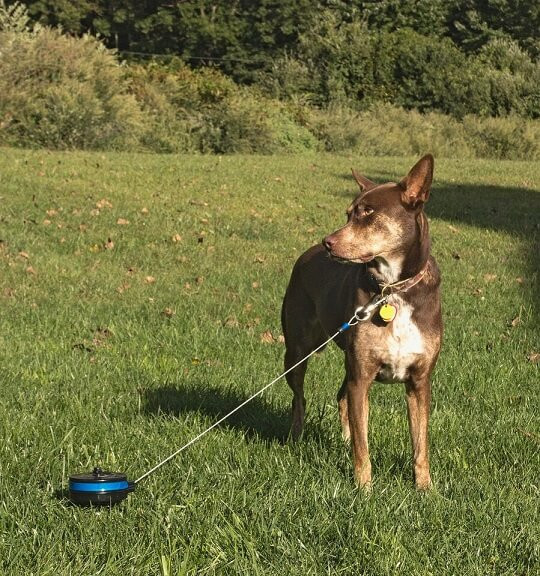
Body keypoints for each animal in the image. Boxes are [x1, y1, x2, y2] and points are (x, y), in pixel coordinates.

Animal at [280, 155, 440, 488]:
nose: (327, 242)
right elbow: (362, 445)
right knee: (299, 398)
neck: (393, 290)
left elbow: (420, 444)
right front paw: (364, 489)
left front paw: (425, 489)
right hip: (297, 351)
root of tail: (305, 256)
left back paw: (341, 439)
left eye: (368, 213)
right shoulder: (361, 376)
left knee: (340, 398)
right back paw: (296, 437)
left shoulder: (419, 382)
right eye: (348, 213)